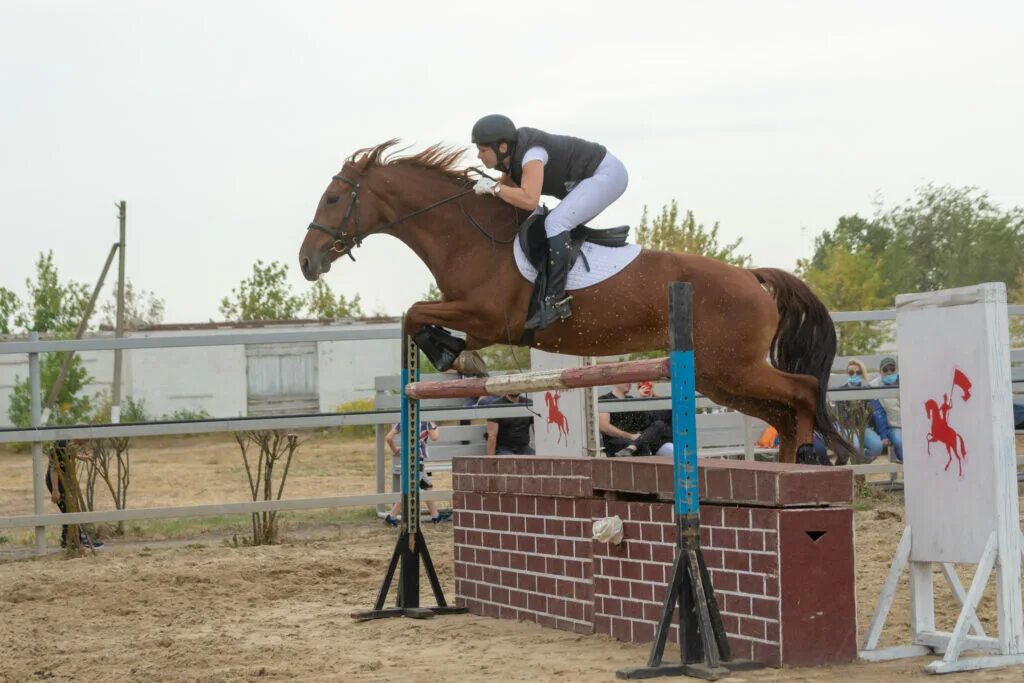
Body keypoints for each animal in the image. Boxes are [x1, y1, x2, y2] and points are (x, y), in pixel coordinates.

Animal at [296, 141, 856, 466]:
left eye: (332, 199)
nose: (306, 261)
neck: (468, 237)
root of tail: (751, 277)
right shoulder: (475, 319)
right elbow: (416, 316)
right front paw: (459, 356)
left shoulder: (489, 317)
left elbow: (415, 313)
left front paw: (451, 354)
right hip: (719, 375)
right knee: (782, 411)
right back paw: (790, 466)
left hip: (733, 367)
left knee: (804, 392)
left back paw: (811, 456)